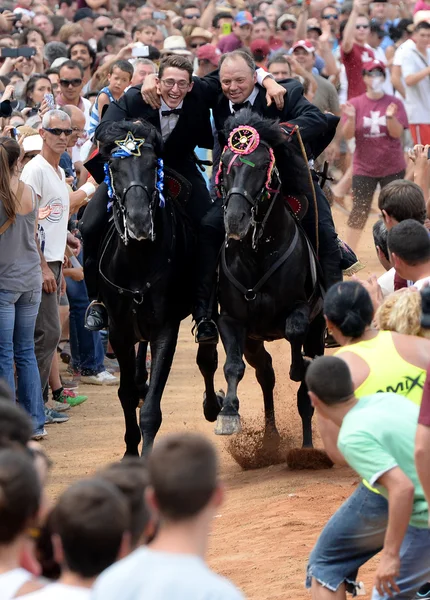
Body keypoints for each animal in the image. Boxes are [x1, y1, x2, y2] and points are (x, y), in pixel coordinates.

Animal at [94, 118, 222, 454]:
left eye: (154, 165)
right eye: (113, 167)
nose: (139, 222)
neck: (139, 260)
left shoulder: (165, 328)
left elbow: (152, 408)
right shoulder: (119, 331)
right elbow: (126, 394)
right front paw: (130, 451)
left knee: (207, 358)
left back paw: (213, 406)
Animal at [203, 111, 324, 450]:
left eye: (261, 168)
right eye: (225, 165)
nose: (235, 220)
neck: (259, 255)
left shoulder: (302, 309)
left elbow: (295, 332)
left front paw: (298, 366)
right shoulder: (232, 322)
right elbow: (233, 366)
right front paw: (228, 414)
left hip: (317, 328)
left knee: (304, 394)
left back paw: (307, 447)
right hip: (253, 342)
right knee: (266, 374)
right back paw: (270, 437)